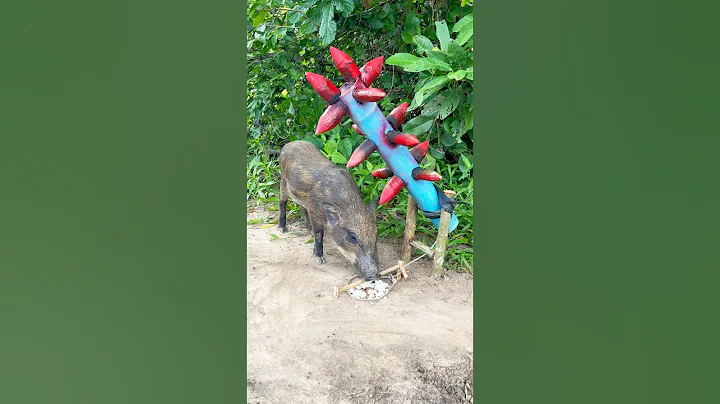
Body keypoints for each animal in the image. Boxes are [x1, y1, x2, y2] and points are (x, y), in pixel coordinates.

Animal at [277, 141, 380, 280]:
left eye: (375, 234)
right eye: (352, 237)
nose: (374, 274)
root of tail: (288, 144)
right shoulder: (315, 213)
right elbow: (318, 235)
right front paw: (320, 260)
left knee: (301, 207)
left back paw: (307, 230)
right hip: (283, 181)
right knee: (282, 201)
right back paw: (283, 229)